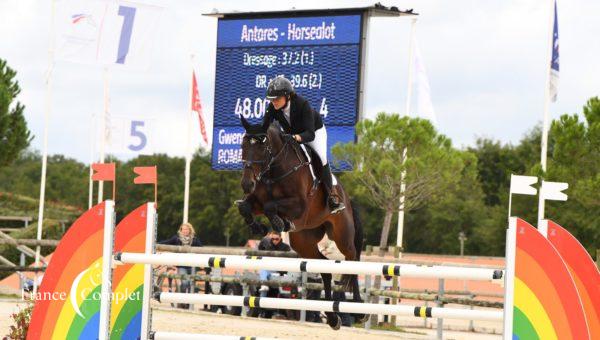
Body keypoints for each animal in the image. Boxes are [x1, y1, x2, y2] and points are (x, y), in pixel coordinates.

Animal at [234, 115, 366, 328]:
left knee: (352, 260)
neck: (274, 170)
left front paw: (280, 223)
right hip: (304, 242)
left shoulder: (299, 205)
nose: (247, 184)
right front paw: (259, 227)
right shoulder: (257, 202)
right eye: (243, 145)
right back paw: (332, 318)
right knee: (325, 269)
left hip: (342, 236)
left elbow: (271, 206)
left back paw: (360, 309)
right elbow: (246, 207)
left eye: (262, 147)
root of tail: (347, 198)